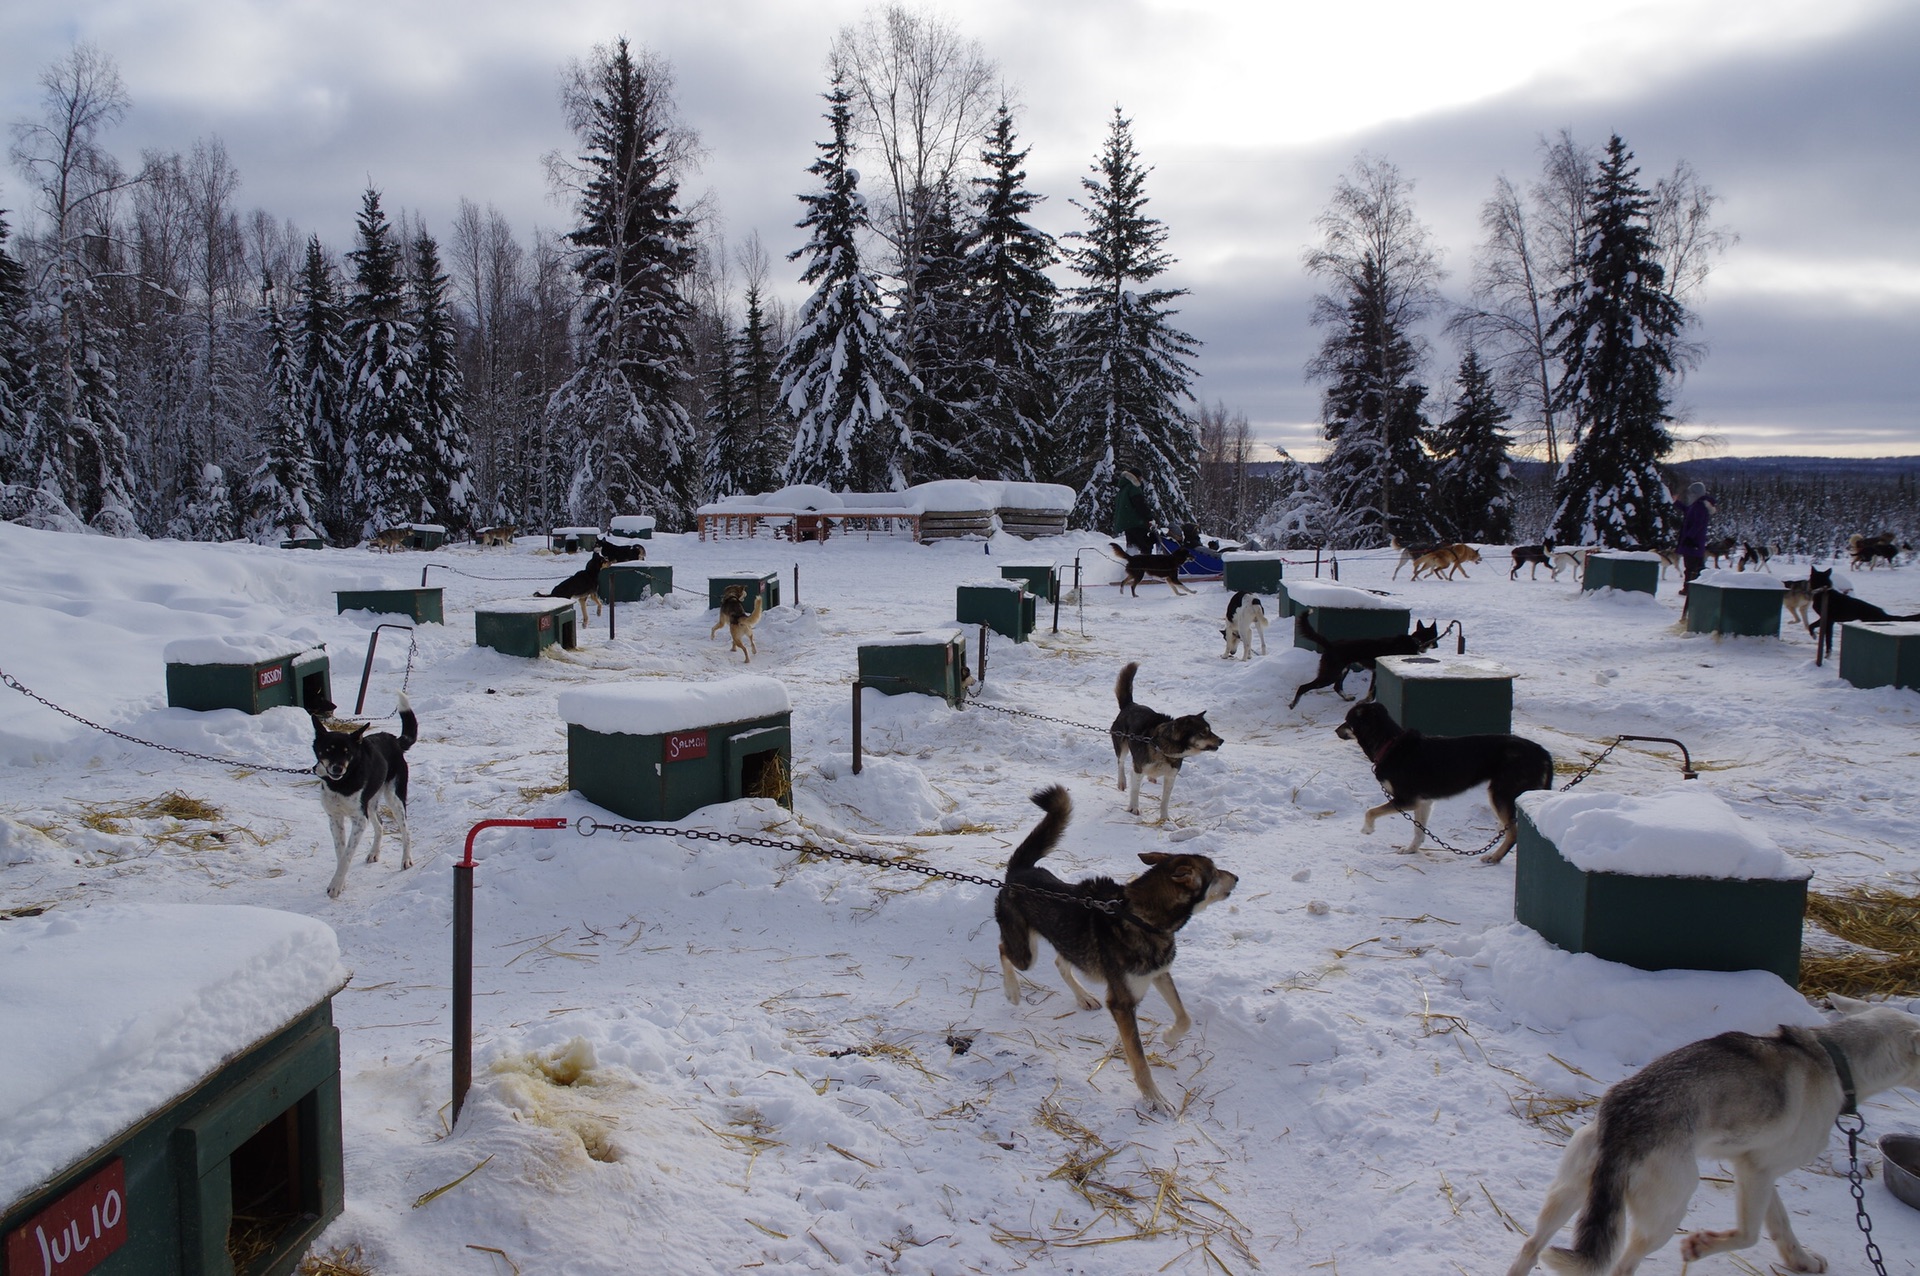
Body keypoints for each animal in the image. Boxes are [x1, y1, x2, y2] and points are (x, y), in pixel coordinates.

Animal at [311, 698, 416, 894]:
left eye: (347, 752)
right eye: (328, 750)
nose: (337, 768)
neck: (341, 783)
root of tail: (394, 740)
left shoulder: (360, 820)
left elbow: (347, 855)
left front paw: (336, 886)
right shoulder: (335, 818)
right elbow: (341, 853)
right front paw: (341, 880)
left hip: (394, 798)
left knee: (406, 830)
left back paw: (406, 859)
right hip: (370, 803)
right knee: (380, 824)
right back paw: (374, 853)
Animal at [1113, 660, 1228, 821]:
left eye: (1210, 730)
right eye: (1203, 732)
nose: (1222, 740)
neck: (1163, 748)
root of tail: (1130, 705)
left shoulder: (1171, 777)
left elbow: (1165, 800)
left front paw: (1165, 818)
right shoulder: (1138, 769)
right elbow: (1135, 791)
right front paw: (1134, 808)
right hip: (1121, 745)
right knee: (1121, 762)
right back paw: (1122, 782)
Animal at [1336, 702, 1559, 859]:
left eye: (1347, 720)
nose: (1336, 730)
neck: (1389, 744)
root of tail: (1542, 752)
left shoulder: (1406, 800)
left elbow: (1370, 811)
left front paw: (1367, 829)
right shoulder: (1422, 802)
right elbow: (1419, 832)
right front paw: (1410, 850)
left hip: (1500, 795)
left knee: (1512, 834)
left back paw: (1494, 858)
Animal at [1505, 1005, 1920, 1274]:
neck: (1834, 1059)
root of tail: (1623, 1120)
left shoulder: (1754, 1168)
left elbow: (1781, 1226)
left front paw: (1800, 1262)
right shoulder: (1758, 1171)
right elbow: (1749, 1235)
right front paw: (1701, 1246)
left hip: (1568, 1194)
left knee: (1529, 1246)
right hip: (1666, 1214)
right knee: (1621, 1267)